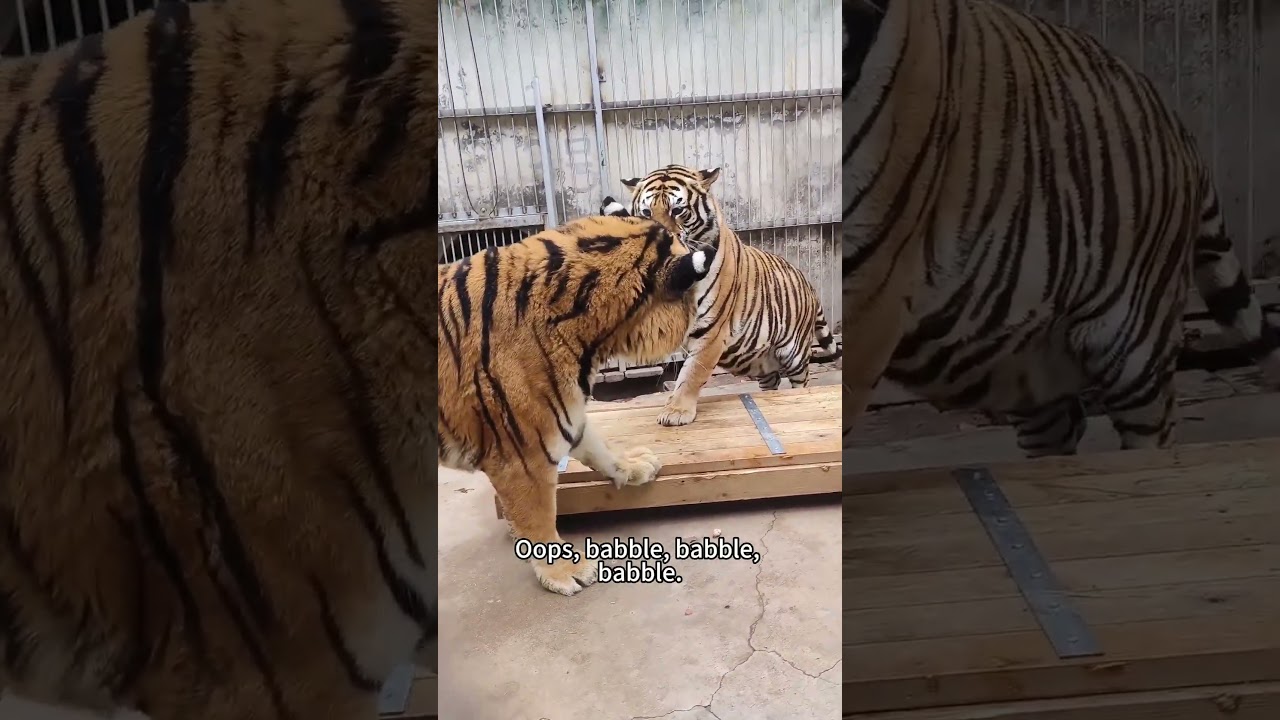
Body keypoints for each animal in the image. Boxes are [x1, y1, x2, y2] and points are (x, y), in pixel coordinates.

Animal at [438, 216, 714, 595]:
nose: (701, 324)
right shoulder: (522, 454)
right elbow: (538, 517)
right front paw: (565, 571)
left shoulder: (565, 414)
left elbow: (601, 449)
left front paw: (635, 466)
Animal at [600, 163, 841, 427]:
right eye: (645, 212)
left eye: (677, 210)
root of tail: (808, 282)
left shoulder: (712, 330)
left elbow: (692, 373)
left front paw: (677, 411)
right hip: (761, 361)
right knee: (772, 380)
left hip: (793, 354)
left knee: (801, 382)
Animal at [841, 0, 1280, 455]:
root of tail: (1179, 127)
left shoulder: (870, 289)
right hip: (997, 354)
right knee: (1062, 421)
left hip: (1133, 350)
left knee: (1152, 434)